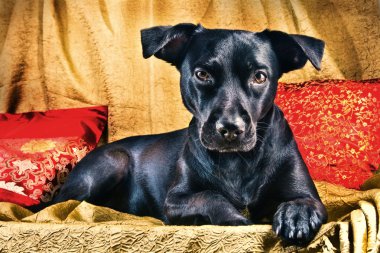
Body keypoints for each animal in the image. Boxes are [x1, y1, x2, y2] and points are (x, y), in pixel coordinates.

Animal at [50, 23, 328, 245]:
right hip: (113, 162)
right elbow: (210, 196)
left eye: (260, 77)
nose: (230, 129)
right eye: (202, 74)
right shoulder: (175, 200)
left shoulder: (310, 196)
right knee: (61, 205)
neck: (236, 160)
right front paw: (237, 218)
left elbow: (303, 202)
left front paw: (296, 217)